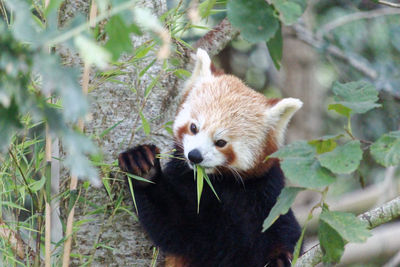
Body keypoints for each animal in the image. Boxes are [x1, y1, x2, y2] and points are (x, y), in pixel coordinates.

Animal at [119, 48, 304, 267]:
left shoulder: (266, 190)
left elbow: (283, 229)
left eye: (221, 142)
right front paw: (143, 167)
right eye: (193, 127)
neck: (220, 183)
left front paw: (280, 258)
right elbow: (175, 224)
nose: (195, 156)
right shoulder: (186, 182)